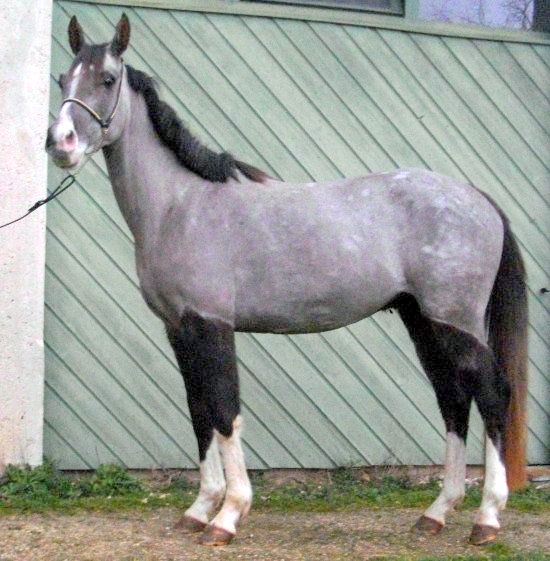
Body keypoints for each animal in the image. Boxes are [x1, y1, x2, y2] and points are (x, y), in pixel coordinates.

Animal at [46, 14, 532, 548]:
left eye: (108, 80)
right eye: (63, 80)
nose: (60, 143)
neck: (182, 206)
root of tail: (477, 197)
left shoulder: (211, 325)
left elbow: (223, 409)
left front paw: (228, 515)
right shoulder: (178, 328)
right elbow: (199, 411)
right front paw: (199, 509)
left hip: (454, 322)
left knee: (492, 394)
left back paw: (487, 518)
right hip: (423, 322)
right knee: (453, 400)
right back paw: (437, 513)